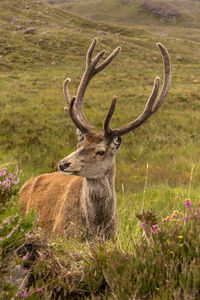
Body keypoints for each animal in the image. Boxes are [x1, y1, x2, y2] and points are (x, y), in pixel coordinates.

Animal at [18, 37, 170, 240]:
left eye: (101, 151)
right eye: (79, 143)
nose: (63, 163)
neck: (96, 226)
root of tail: (24, 185)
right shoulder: (61, 234)